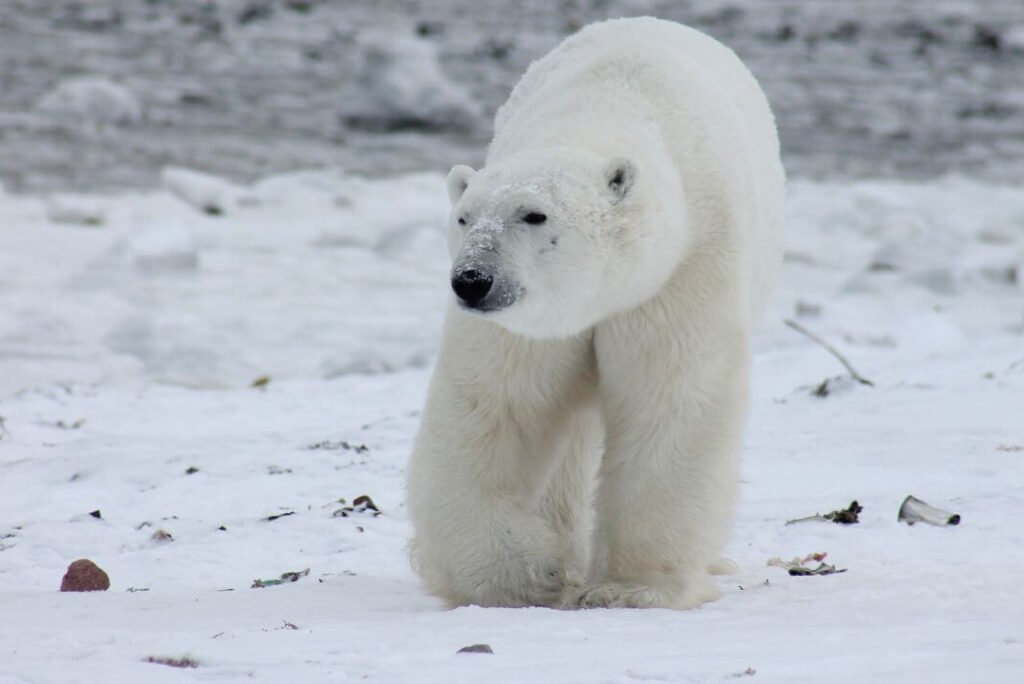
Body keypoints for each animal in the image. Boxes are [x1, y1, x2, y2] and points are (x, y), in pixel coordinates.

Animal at [405, 14, 782, 610]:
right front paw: (524, 573)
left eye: (534, 215)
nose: (472, 281)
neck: (604, 110)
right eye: (464, 217)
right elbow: (496, 406)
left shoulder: (683, 269)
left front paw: (629, 589)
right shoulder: (531, 323)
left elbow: (670, 400)